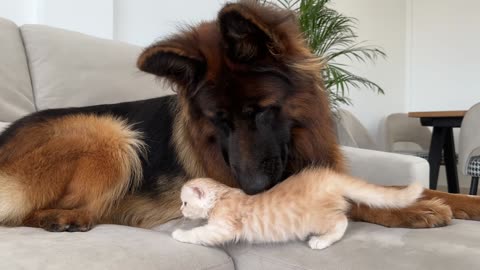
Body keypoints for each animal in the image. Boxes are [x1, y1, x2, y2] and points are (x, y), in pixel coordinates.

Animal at [0, 0, 480, 232]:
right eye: (220, 122)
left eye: (262, 112)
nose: (249, 189)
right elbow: (352, 198)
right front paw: (417, 211)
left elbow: (401, 185)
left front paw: (461, 202)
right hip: (109, 131)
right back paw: (62, 219)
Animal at [172, 168, 420, 250]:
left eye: (184, 202)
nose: (181, 211)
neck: (223, 195)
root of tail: (329, 176)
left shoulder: (223, 227)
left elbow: (199, 233)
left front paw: (179, 233)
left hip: (316, 217)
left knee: (342, 221)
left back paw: (321, 241)